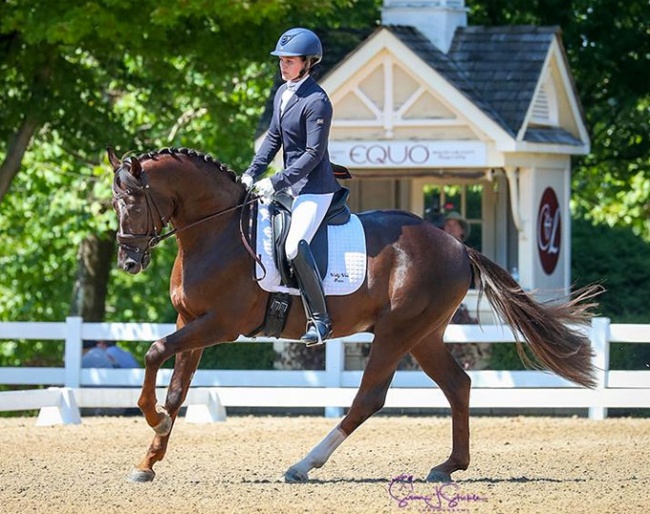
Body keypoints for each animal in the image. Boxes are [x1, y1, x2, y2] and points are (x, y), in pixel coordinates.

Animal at [107, 146, 596, 482]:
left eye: (133, 202)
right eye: (115, 204)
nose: (129, 262)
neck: (218, 232)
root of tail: (457, 245)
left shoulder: (219, 326)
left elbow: (154, 351)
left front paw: (151, 416)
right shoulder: (190, 321)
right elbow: (176, 389)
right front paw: (148, 461)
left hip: (397, 333)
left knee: (368, 399)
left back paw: (304, 464)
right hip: (425, 334)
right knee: (458, 384)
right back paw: (449, 465)